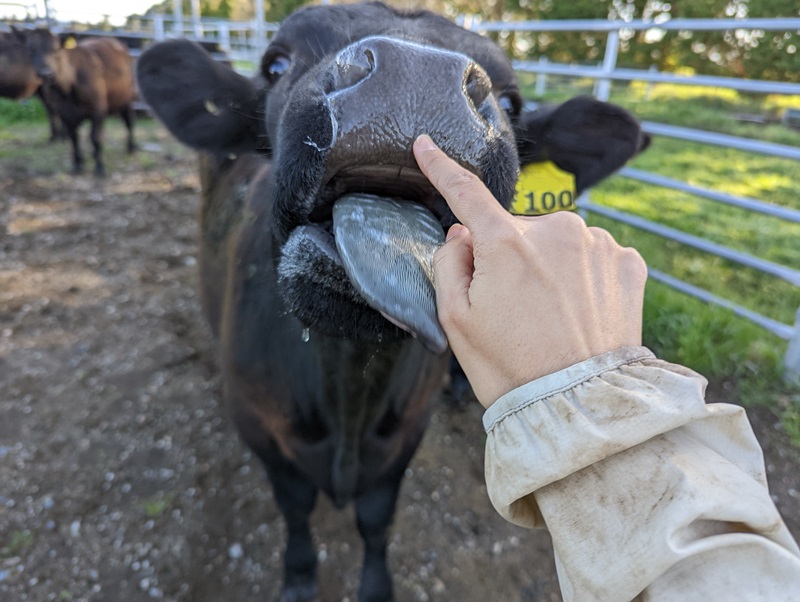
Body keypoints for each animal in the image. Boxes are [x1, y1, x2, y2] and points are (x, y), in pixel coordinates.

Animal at [18, 29, 137, 175]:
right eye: (31, 50)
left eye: (55, 50)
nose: (45, 73)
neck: (69, 87)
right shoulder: (64, 114)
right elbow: (73, 137)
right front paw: (78, 164)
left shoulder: (98, 110)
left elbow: (95, 138)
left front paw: (99, 167)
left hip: (127, 99)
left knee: (129, 121)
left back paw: (131, 147)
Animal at [136, 2, 648, 596]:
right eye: (275, 63)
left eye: (513, 102)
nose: (416, 77)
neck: (350, 395)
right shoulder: (258, 424)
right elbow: (294, 506)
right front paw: (299, 576)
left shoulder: (405, 433)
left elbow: (376, 518)